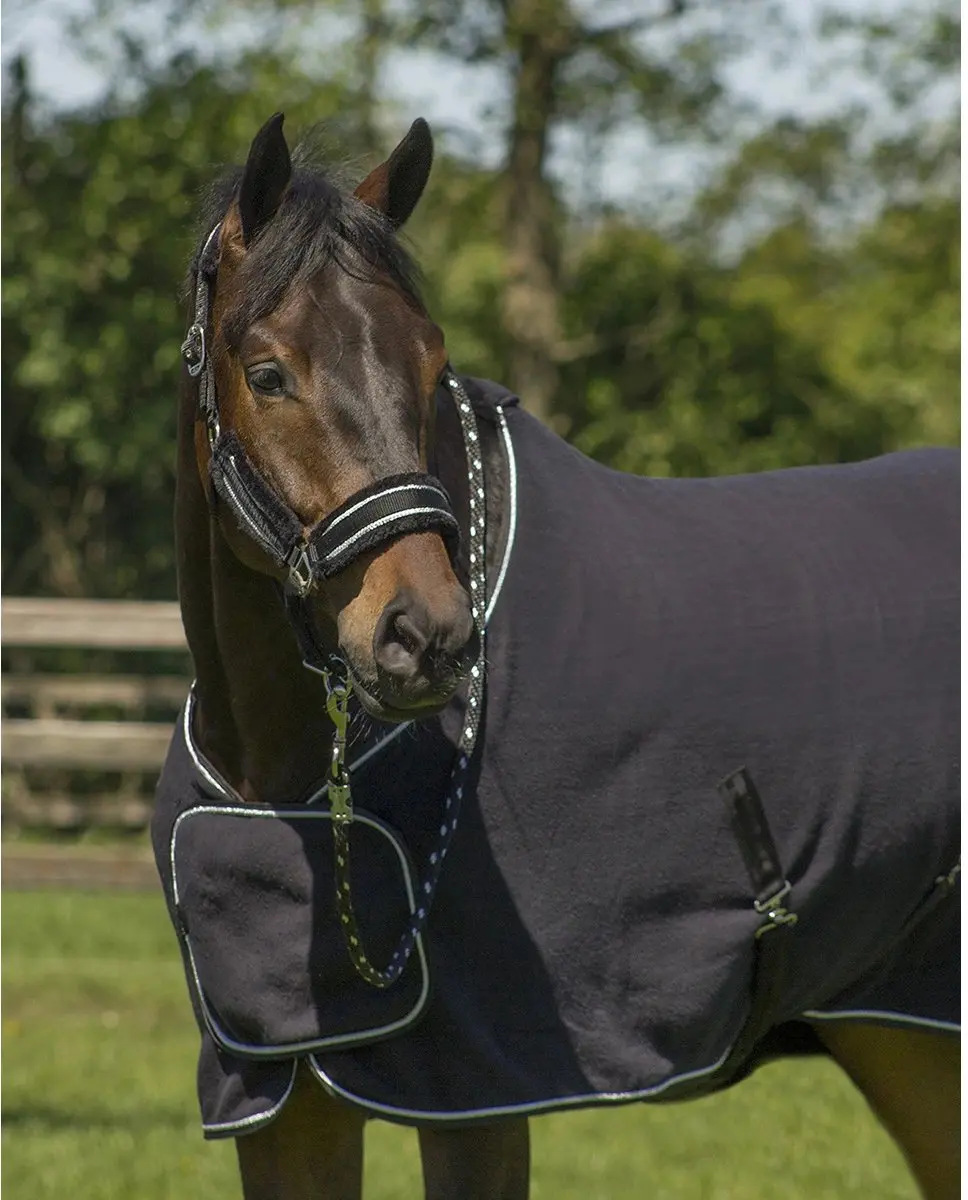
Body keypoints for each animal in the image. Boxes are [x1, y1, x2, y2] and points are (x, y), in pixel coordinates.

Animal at [151, 113, 960, 1199]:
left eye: (430, 366)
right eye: (269, 372)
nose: (427, 636)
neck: (278, 782)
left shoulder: (476, 1087)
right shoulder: (284, 1093)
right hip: (900, 1030)